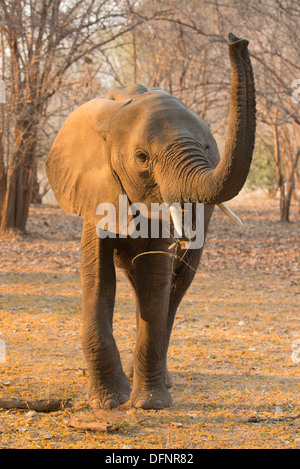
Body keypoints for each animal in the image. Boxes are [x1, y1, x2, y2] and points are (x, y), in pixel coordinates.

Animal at [45, 33, 256, 408]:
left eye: (206, 148)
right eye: (142, 157)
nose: (236, 40)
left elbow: (155, 276)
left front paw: (149, 405)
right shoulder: (97, 192)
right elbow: (98, 277)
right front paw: (110, 402)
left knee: (176, 284)